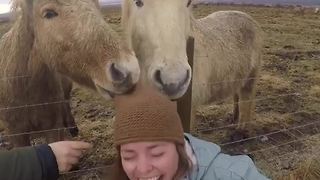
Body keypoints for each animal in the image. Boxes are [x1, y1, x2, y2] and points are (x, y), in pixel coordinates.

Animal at [121, 0, 262, 139]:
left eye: (188, 3)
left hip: (250, 79)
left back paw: (242, 131)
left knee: (246, 101)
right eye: (138, 2)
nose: (173, 81)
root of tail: (248, 18)